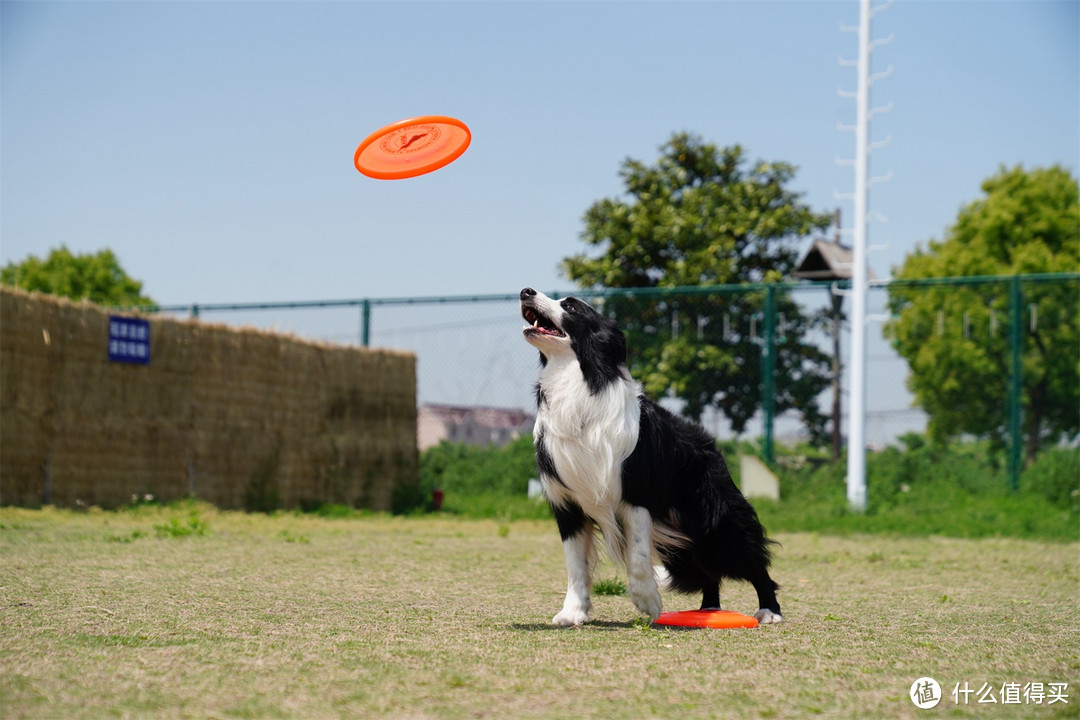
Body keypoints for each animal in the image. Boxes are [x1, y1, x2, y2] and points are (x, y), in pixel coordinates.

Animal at [518, 284, 781, 626]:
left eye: (571, 307)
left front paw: (648, 602)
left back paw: (769, 610)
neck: (579, 382)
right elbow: (575, 565)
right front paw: (572, 612)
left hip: (717, 522)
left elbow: (639, 555)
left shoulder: (637, 493)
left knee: (750, 559)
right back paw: (708, 611)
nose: (526, 291)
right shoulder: (568, 504)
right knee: (707, 573)